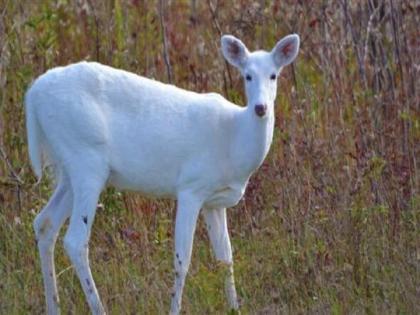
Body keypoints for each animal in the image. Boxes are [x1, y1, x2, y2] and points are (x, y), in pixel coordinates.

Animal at [25, 33, 298, 314]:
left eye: (274, 75)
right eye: (247, 75)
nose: (260, 107)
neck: (233, 138)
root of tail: (33, 94)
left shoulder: (215, 201)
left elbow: (225, 258)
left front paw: (235, 308)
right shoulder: (190, 187)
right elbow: (182, 259)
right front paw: (175, 309)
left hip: (70, 170)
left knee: (44, 224)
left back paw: (53, 307)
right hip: (86, 160)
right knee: (76, 241)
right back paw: (98, 307)